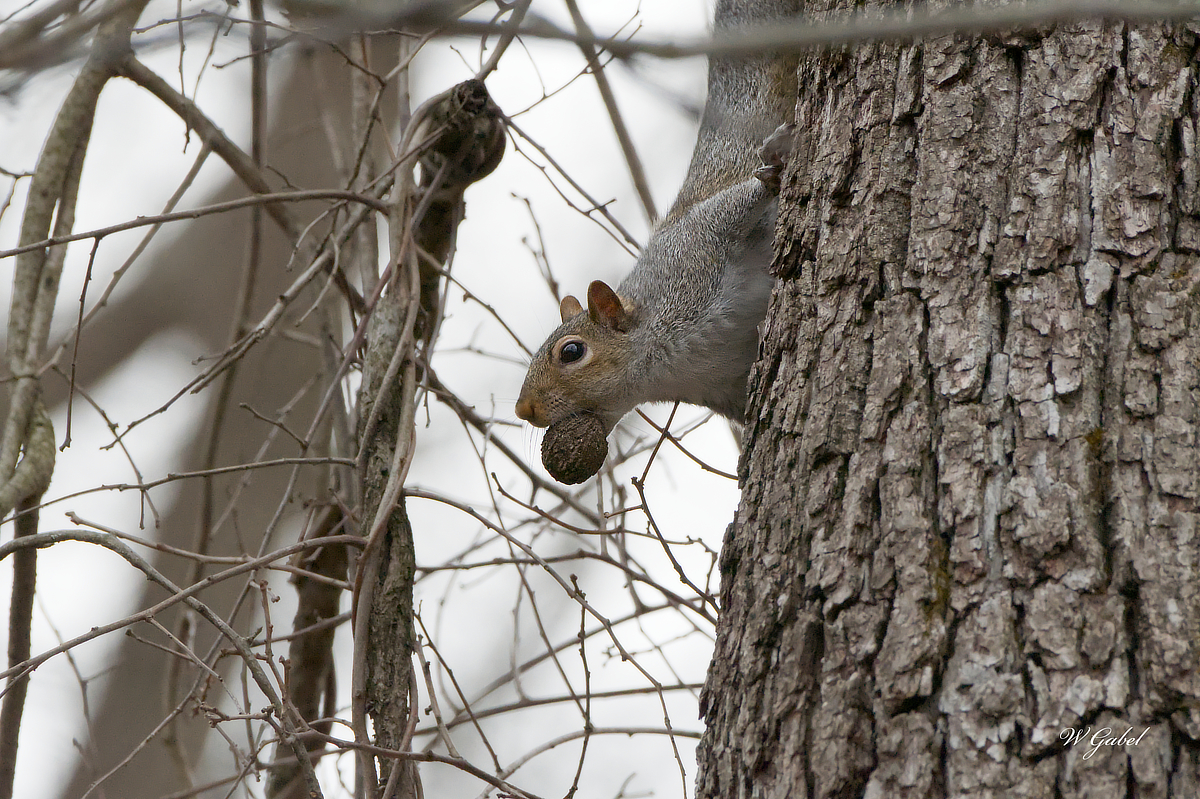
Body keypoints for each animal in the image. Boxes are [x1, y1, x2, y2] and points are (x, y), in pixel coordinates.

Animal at [516, 0, 798, 440]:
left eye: (572, 352)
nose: (523, 409)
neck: (666, 367)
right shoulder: (727, 385)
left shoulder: (696, 250)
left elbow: (737, 205)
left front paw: (771, 174)